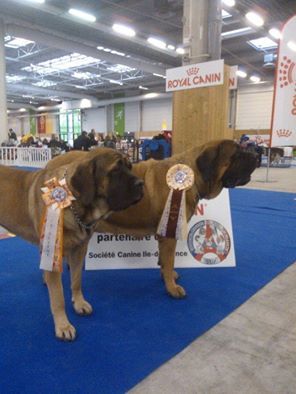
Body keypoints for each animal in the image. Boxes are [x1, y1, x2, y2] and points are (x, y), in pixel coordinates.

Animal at [0, 148, 143, 338]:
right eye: (115, 170)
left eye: (130, 167)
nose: (141, 184)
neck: (73, 201)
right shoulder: (54, 251)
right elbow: (58, 296)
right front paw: (63, 325)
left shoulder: (79, 250)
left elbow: (76, 281)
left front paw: (79, 303)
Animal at [95, 139, 260, 296]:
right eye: (237, 155)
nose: (256, 155)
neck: (190, 177)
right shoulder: (169, 233)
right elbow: (169, 261)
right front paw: (172, 288)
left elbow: (164, 260)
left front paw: (167, 278)